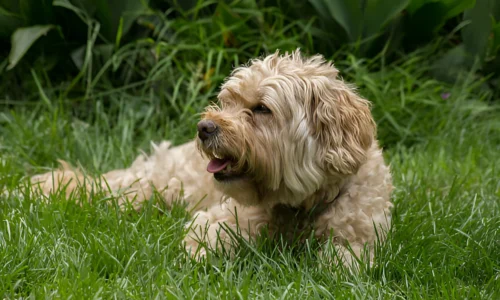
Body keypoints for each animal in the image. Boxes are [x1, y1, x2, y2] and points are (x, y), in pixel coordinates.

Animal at [32, 49, 394, 268]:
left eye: (261, 109)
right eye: (227, 101)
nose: (204, 127)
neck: (301, 205)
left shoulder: (360, 238)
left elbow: (342, 266)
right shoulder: (222, 217)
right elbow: (205, 237)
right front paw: (196, 259)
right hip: (148, 186)